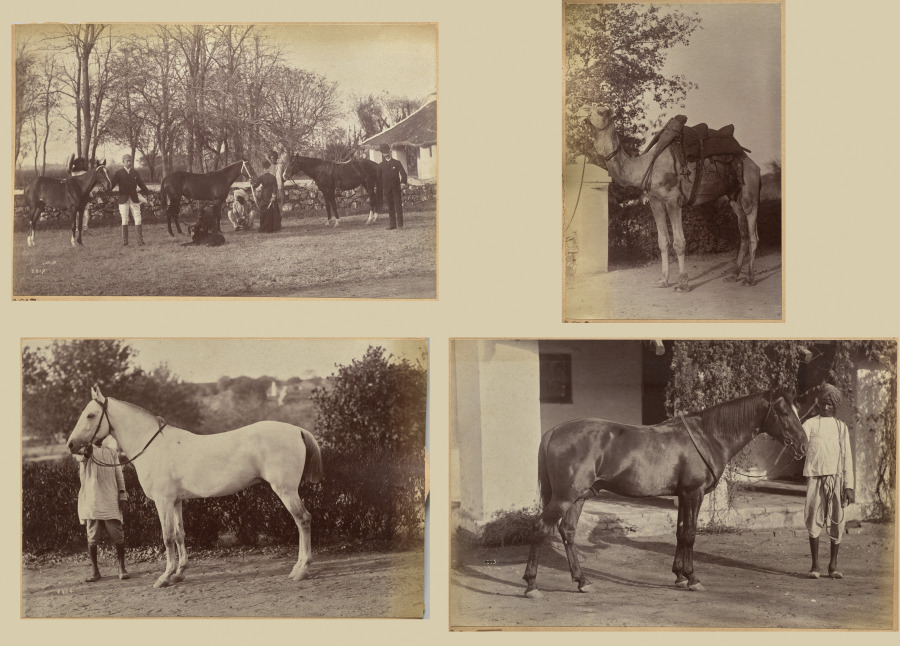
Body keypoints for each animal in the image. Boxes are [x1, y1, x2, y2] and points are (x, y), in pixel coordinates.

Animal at [66, 385, 323, 588]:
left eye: (90, 415)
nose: (71, 445)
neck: (153, 446)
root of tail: (297, 430)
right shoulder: (176, 501)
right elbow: (180, 535)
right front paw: (179, 573)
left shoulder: (163, 502)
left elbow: (168, 537)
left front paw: (165, 577)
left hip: (285, 490)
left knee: (303, 520)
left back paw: (301, 569)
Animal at [522, 389, 807, 598]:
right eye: (783, 412)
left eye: (797, 410)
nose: (804, 445)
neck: (709, 436)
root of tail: (554, 432)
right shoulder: (694, 494)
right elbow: (690, 534)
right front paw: (693, 578)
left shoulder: (682, 495)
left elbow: (680, 532)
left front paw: (679, 576)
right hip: (564, 497)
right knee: (540, 528)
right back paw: (532, 585)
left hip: (578, 497)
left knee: (568, 532)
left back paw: (582, 581)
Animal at [579, 105, 762, 292]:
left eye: (600, 111)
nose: (580, 112)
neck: (644, 166)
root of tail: (752, 162)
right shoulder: (655, 201)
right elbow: (662, 241)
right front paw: (663, 280)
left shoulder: (674, 200)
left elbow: (679, 242)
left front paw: (682, 283)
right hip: (733, 196)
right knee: (743, 232)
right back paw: (733, 275)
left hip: (750, 188)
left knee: (753, 233)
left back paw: (749, 278)